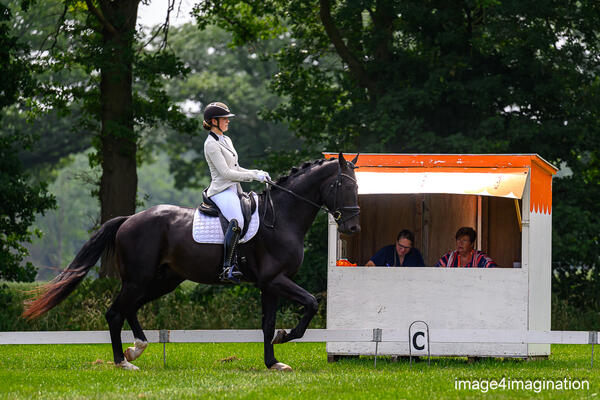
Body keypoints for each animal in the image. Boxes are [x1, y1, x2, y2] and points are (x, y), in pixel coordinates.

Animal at [23, 153, 361, 371]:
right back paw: (123, 361)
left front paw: (273, 362)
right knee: (115, 312)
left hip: (163, 281)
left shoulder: (271, 285)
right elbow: (311, 304)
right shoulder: (275, 280)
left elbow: (268, 324)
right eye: (344, 186)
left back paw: (136, 349)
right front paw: (287, 336)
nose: (352, 228)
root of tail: (128, 220)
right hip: (138, 279)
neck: (282, 218)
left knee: (129, 309)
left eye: (357, 187)